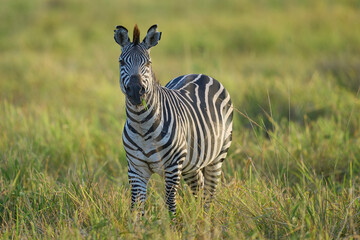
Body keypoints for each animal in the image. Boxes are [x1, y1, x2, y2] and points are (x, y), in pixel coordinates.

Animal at [114, 24, 235, 215]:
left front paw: (174, 224)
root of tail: (200, 74)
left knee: (210, 192)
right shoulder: (136, 169)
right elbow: (136, 207)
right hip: (191, 163)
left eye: (148, 63)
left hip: (218, 155)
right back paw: (199, 219)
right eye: (121, 62)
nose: (135, 91)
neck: (141, 124)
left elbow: (170, 204)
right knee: (199, 188)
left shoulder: (172, 167)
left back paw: (207, 220)